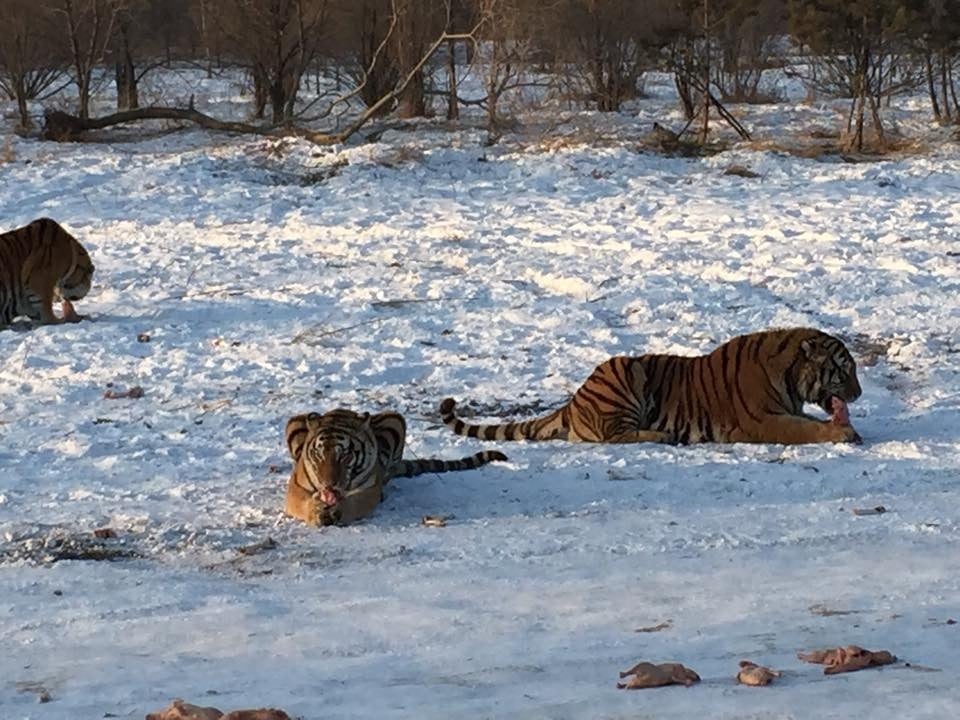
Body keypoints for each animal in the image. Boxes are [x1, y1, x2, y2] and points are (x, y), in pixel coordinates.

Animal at [284, 408, 508, 526]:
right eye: (319, 454)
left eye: (345, 455)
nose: (329, 485)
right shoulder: (295, 486)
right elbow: (301, 501)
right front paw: (315, 509)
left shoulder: (369, 488)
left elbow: (355, 502)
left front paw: (338, 511)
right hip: (294, 422)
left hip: (394, 421)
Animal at [440, 327, 863, 446]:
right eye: (844, 370)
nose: (858, 394)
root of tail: (573, 401)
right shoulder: (762, 420)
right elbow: (804, 429)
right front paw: (843, 434)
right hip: (625, 374)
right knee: (614, 436)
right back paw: (662, 437)